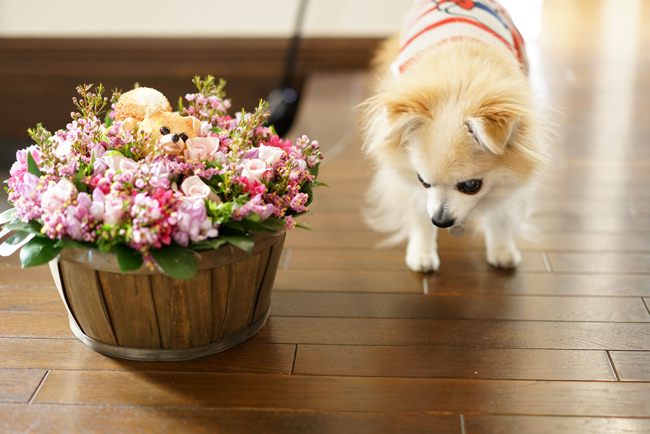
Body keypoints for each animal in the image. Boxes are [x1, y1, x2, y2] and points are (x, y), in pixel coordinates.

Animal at [360, 0, 552, 272]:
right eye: (422, 180)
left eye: (471, 185)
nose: (440, 221)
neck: (459, 77)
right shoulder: (405, 175)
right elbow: (417, 211)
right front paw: (421, 251)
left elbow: (501, 213)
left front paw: (502, 248)